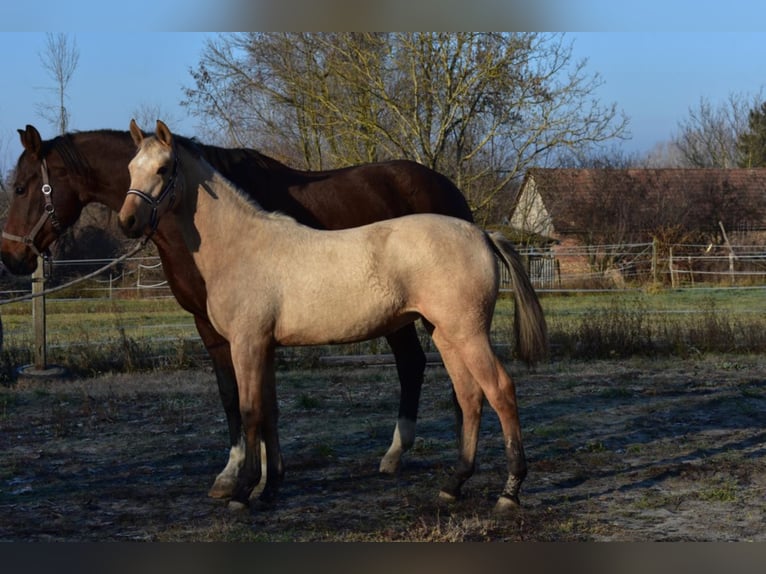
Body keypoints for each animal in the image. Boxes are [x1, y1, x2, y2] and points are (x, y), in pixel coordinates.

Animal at [3, 125, 548, 504]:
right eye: (131, 170)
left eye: (163, 170)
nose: (129, 221)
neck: (243, 245)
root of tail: (481, 233)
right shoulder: (261, 345)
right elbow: (267, 411)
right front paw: (268, 488)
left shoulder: (243, 341)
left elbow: (245, 411)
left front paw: (240, 492)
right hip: (445, 333)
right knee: (470, 396)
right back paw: (454, 483)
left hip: (465, 332)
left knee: (500, 390)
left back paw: (509, 491)